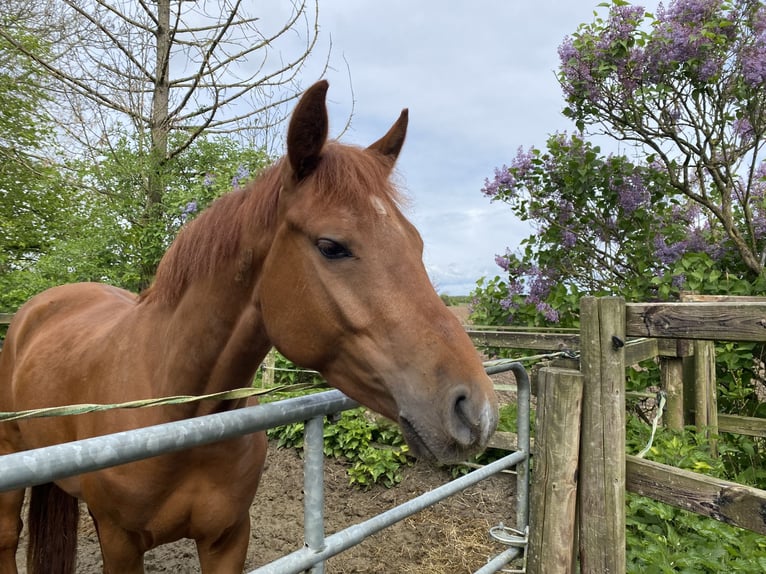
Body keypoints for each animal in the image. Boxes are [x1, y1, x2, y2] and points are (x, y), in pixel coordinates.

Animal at [0, 82, 498, 574]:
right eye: (331, 246)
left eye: (416, 242)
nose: (477, 411)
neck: (180, 413)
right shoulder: (120, 543)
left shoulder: (228, 537)